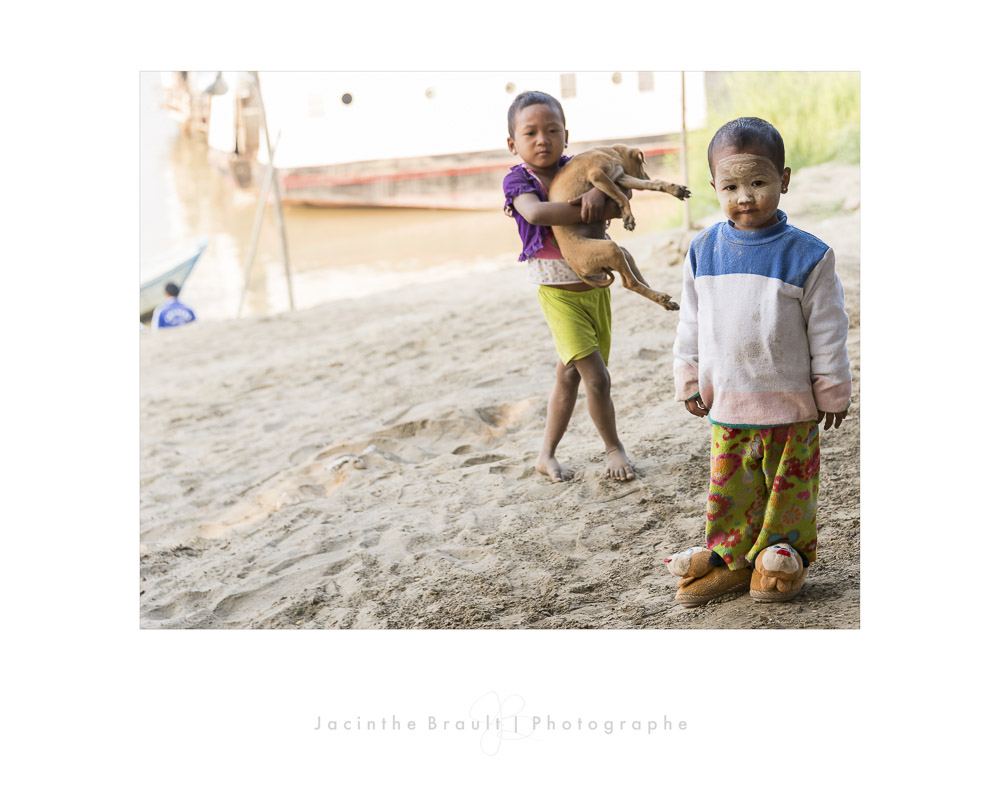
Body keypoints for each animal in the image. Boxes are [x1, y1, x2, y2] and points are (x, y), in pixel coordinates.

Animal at [548, 144, 690, 310]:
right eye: (641, 165)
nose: (647, 176)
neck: (609, 152)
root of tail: (577, 270)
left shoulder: (620, 177)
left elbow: (652, 184)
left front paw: (676, 189)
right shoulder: (598, 175)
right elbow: (622, 196)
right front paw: (628, 217)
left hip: (622, 253)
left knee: (639, 281)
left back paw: (663, 300)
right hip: (611, 248)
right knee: (630, 283)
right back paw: (660, 297)